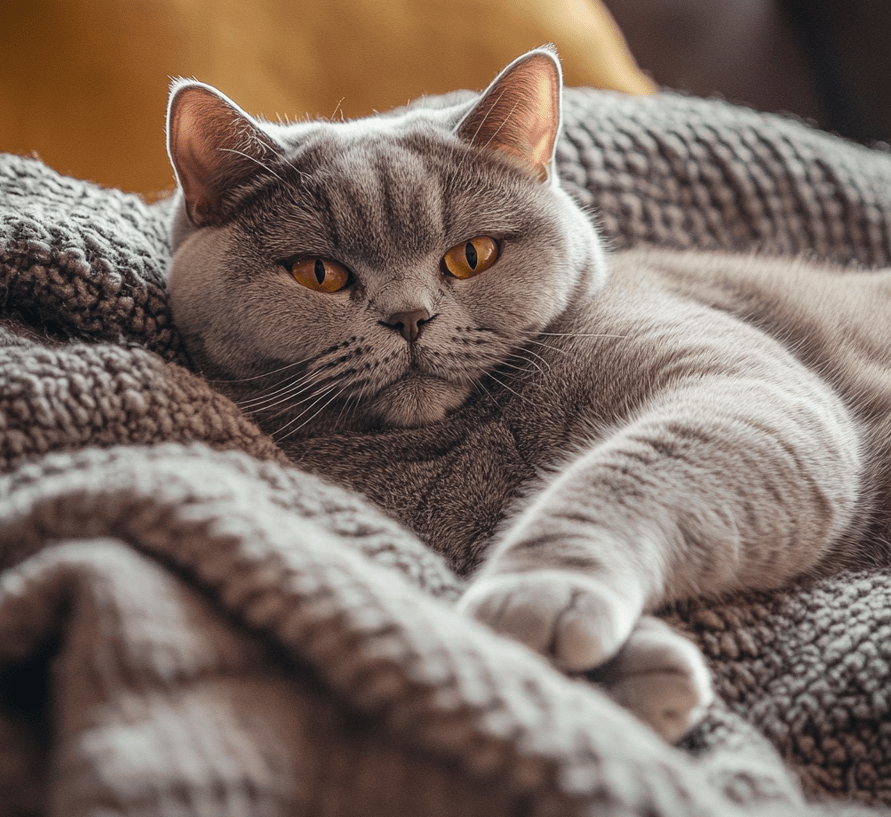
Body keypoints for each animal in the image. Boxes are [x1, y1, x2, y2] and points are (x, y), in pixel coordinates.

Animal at [162, 47, 891, 744]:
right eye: (320, 273)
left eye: (472, 255)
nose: (409, 317)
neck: (464, 438)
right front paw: (626, 675)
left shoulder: (748, 389)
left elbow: (626, 471)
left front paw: (538, 601)